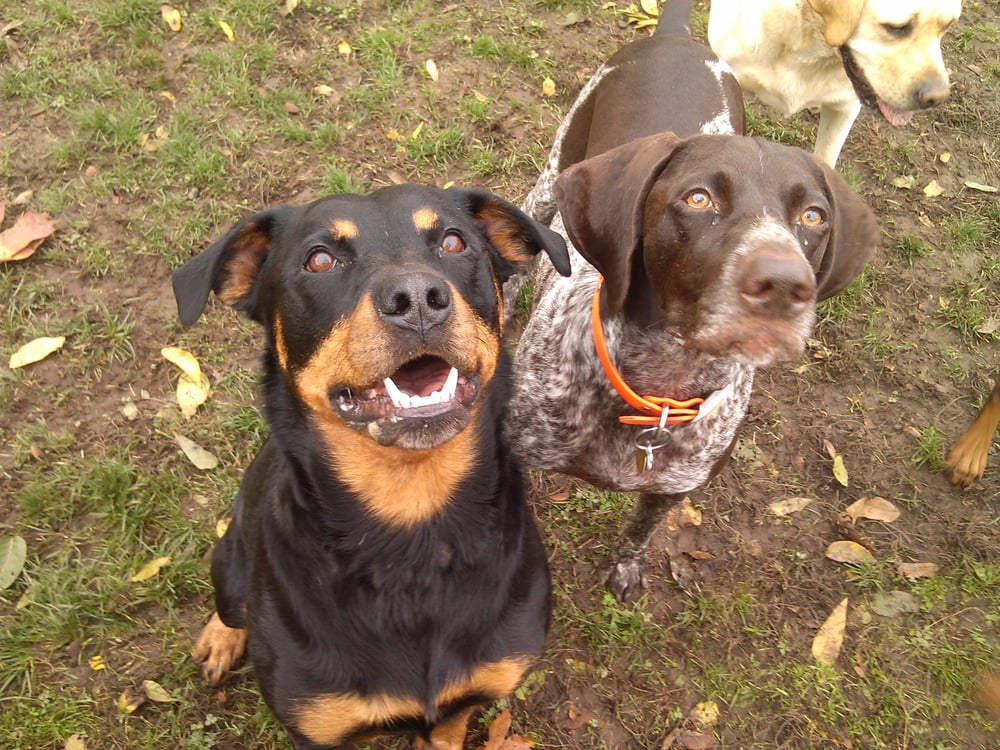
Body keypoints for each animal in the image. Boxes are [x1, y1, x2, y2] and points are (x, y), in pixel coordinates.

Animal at [173, 184, 569, 749]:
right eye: (319, 260)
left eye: (453, 241)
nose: (418, 299)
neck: (412, 525)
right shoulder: (317, 726)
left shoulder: (469, 693)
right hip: (229, 561)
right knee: (231, 604)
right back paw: (221, 638)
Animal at [509, 2, 879, 601]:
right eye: (699, 199)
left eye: (813, 216)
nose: (786, 284)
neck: (661, 384)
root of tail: (673, 36)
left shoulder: (674, 486)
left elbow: (640, 530)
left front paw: (624, 567)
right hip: (552, 173)